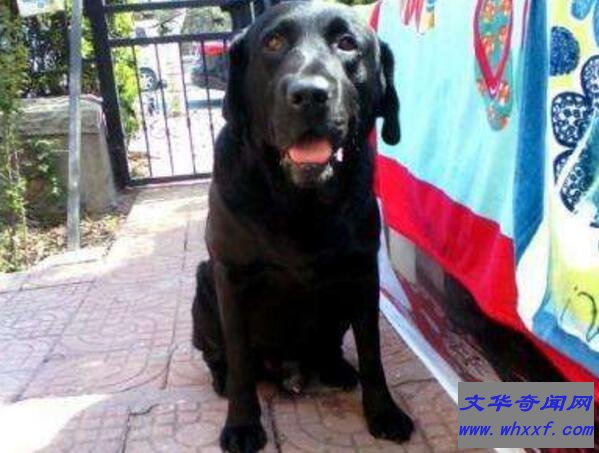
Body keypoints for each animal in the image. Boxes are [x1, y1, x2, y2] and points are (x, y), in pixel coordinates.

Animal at [191, 2, 414, 451]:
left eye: (347, 43)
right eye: (273, 42)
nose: (309, 94)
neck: (301, 201)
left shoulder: (363, 272)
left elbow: (372, 351)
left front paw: (383, 411)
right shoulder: (230, 274)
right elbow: (240, 359)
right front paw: (242, 425)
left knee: (328, 348)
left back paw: (336, 369)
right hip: (204, 284)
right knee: (219, 356)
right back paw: (221, 378)